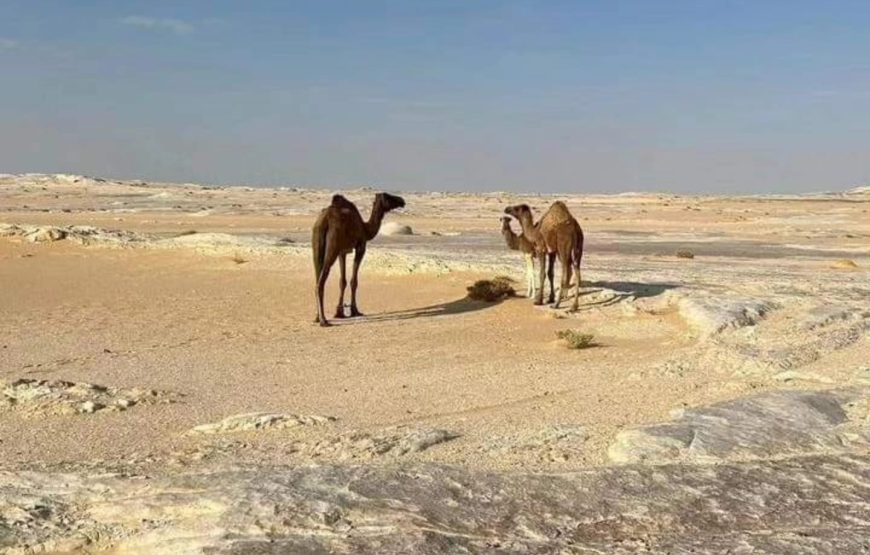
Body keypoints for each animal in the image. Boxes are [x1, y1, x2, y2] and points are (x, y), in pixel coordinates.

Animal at [312, 194, 408, 328]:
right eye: (388, 196)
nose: (402, 200)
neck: (365, 228)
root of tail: (324, 221)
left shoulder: (342, 251)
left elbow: (342, 281)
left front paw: (339, 313)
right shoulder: (361, 246)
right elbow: (354, 281)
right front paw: (355, 311)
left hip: (317, 243)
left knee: (317, 274)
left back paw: (317, 317)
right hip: (333, 245)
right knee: (321, 282)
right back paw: (323, 320)